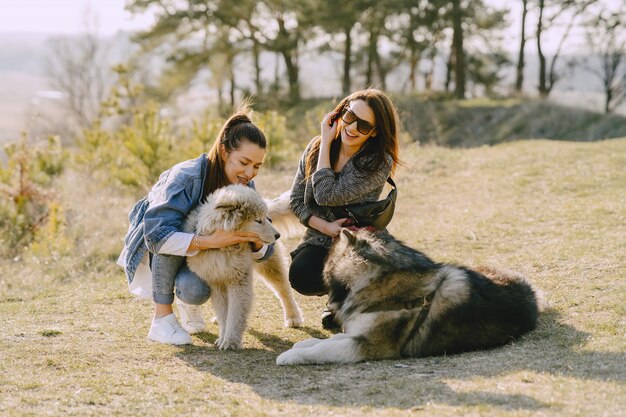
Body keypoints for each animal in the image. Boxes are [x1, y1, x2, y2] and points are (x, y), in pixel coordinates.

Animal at [183, 184, 302, 350]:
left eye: (265, 218)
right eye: (258, 220)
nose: (277, 235)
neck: (224, 247)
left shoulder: (239, 281)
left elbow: (236, 313)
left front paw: (231, 341)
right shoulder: (216, 282)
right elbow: (224, 313)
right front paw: (223, 336)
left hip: (270, 266)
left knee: (284, 290)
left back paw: (293, 317)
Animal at [276, 228, 540, 364]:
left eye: (327, 263)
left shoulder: (370, 345)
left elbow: (323, 350)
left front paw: (291, 355)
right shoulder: (360, 330)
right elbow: (324, 341)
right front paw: (302, 342)